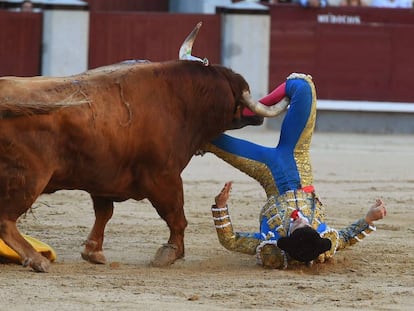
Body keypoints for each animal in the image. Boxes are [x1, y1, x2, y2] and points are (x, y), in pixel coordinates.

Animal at [0, 24, 288, 272]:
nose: (258, 116)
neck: (182, 101)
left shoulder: (102, 178)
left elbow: (104, 213)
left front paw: (93, 252)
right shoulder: (164, 177)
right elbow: (176, 215)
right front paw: (170, 253)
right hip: (29, 178)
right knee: (6, 220)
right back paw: (37, 260)